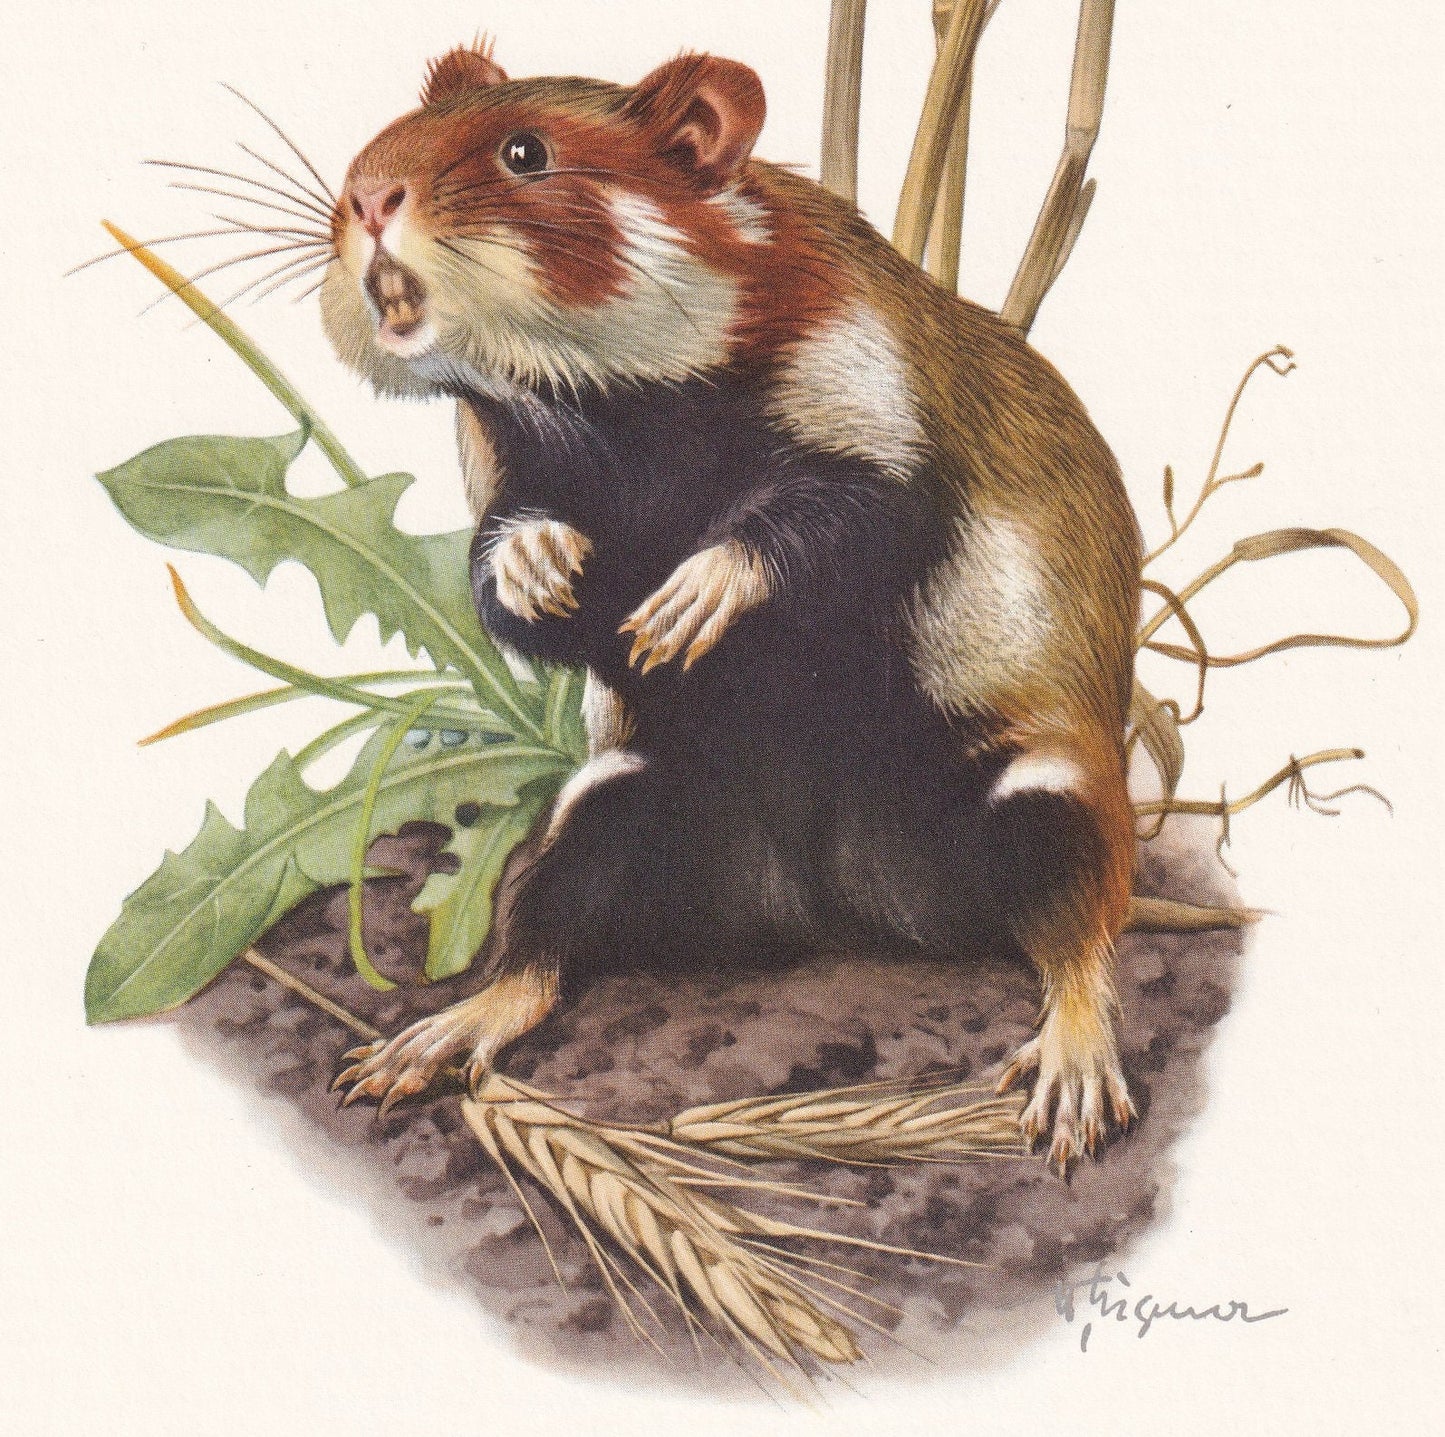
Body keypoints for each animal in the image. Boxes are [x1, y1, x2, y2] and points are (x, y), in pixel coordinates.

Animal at [325, 41, 1141, 1173]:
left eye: (526, 154)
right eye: (393, 137)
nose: (363, 199)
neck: (621, 402)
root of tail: (839, 913)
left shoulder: (875, 427)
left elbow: (827, 517)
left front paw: (682, 606)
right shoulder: (504, 462)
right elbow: (508, 565)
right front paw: (542, 564)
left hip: (1046, 799)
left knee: (1079, 947)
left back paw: (1070, 1095)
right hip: (611, 808)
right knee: (535, 951)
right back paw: (419, 1047)